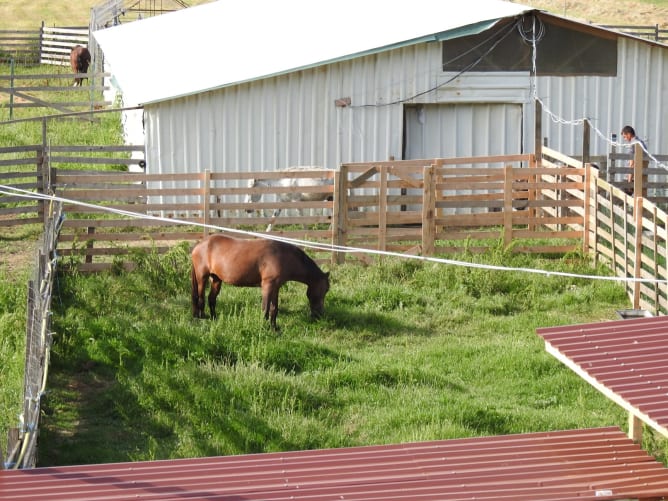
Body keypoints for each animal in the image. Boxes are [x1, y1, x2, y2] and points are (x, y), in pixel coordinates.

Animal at [190, 233, 328, 330]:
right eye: (325, 290)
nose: (319, 315)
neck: (283, 256)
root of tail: (199, 245)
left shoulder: (276, 287)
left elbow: (274, 309)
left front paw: (274, 328)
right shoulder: (267, 285)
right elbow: (265, 308)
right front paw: (263, 327)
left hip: (216, 279)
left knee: (211, 299)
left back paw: (214, 318)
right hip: (202, 277)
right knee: (200, 298)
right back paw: (201, 318)